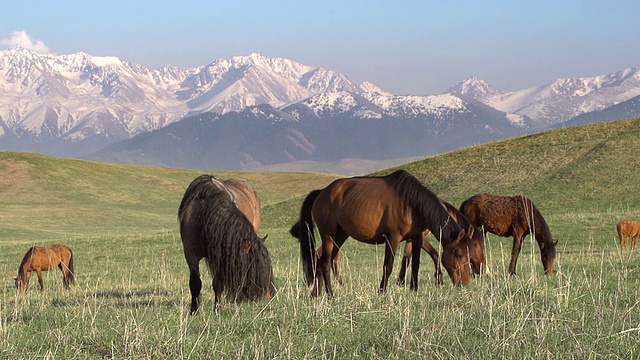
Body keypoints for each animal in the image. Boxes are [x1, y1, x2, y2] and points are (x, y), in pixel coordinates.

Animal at [178, 174, 276, 312]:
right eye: (253, 271)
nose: (268, 297)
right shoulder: (190, 253)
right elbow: (195, 283)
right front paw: (194, 310)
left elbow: (218, 284)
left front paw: (217, 309)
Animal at [292, 169, 484, 298]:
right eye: (458, 254)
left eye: (470, 253)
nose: (466, 282)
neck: (410, 203)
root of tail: (321, 193)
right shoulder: (393, 238)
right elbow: (388, 265)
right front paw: (382, 291)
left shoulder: (416, 237)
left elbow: (415, 264)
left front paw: (414, 289)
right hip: (328, 235)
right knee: (324, 262)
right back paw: (330, 294)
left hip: (340, 235)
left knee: (322, 259)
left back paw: (316, 293)